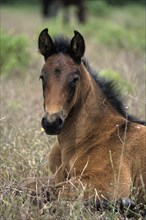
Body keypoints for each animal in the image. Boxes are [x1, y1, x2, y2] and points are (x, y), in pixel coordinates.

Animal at [38, 27, 145, 203]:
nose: (51, 123)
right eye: (42, 77)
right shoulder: (56, 177)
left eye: (75, 79)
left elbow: (57, 192)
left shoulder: (111, 183)